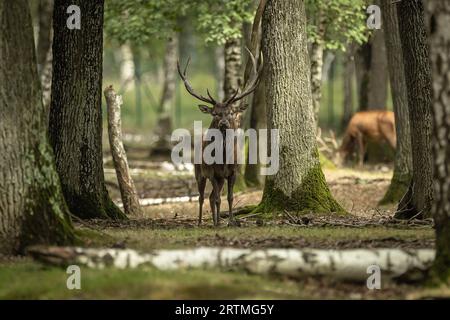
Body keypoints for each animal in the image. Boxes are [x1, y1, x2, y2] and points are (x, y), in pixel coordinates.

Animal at [176, 50, 260, 226]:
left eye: (231, 112)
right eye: (214, 113)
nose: (223, 123)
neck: (223, 159)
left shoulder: (232, 172)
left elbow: (229, 197)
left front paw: (231, 221)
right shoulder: (212, 173)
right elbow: (217, 199)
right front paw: (220, 223)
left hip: (220, 179)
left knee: (210, 196)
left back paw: (214, 220)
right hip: (199, 173)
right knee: (202, 197)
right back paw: (201, 222)